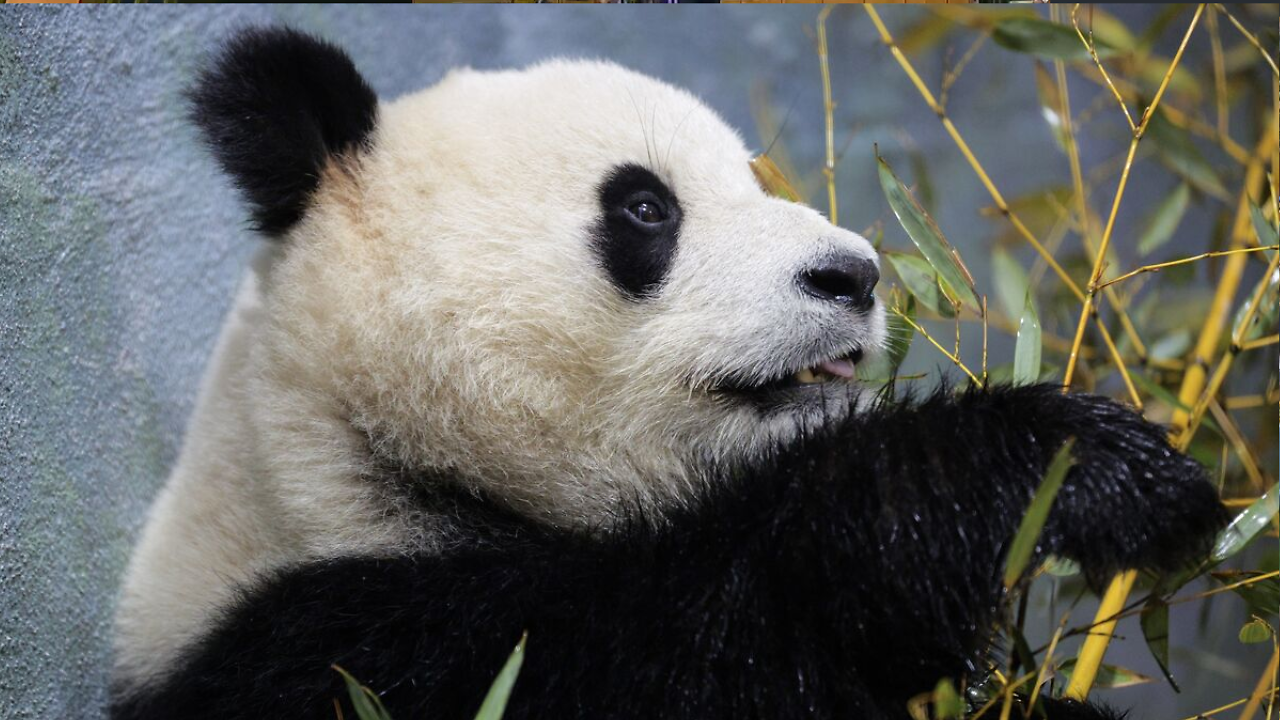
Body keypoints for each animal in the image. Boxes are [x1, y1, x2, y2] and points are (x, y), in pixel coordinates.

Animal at [111, 28, 1228, 720]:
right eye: (646, 207)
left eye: (754, 178)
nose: (855, 274)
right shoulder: (345, 647)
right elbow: (707, 636)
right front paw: (1067, 469)